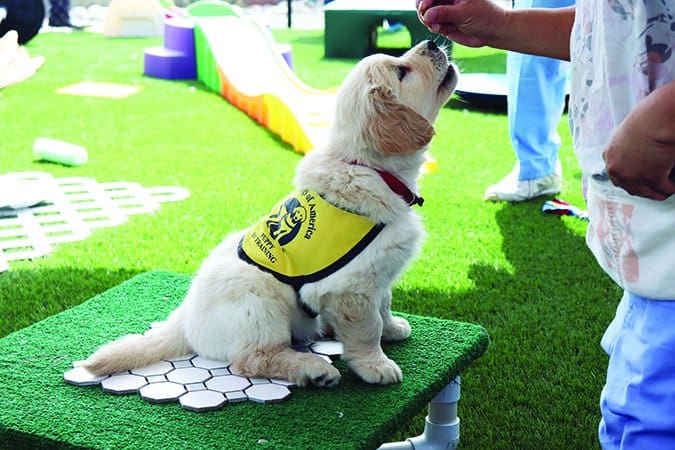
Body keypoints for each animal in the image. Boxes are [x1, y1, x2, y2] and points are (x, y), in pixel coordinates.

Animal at [82, 39, 456, 386]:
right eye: (401, 71)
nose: (432, 42)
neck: (370, 167)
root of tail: (185, 321)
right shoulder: (352, 288)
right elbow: (367, 328)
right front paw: (376, 366)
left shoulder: (377, 276)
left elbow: (385, 304)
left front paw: (392, 329)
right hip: (260, 303)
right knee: (252, 358)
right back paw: (313, 369)